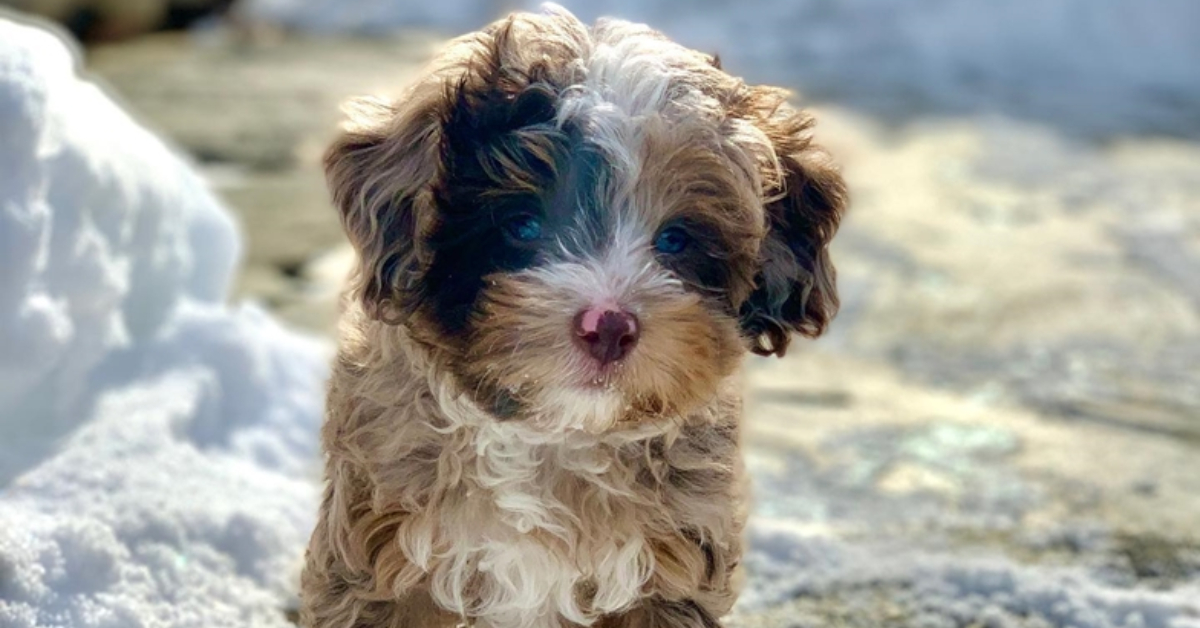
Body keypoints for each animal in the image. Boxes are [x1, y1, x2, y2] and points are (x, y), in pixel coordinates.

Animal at [298, 6, 844, 628]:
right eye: (523, 224)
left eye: (675, 239)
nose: (609, 326)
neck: (556, 436)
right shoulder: (379, 560)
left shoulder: (669, 573)